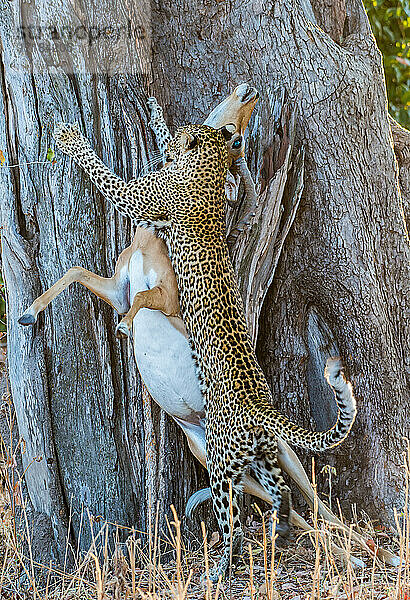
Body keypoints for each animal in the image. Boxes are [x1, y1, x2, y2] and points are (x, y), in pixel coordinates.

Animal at [53, 120, 356, 580]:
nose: (180, 135)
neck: (208, 171)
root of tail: (260, 411)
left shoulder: (140, 197)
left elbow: (104, 172)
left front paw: (70, 138)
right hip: (258, 459)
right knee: (283, 496)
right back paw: (282, 529)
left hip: (221, 464)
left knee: (238, 520)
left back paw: (222, 569)